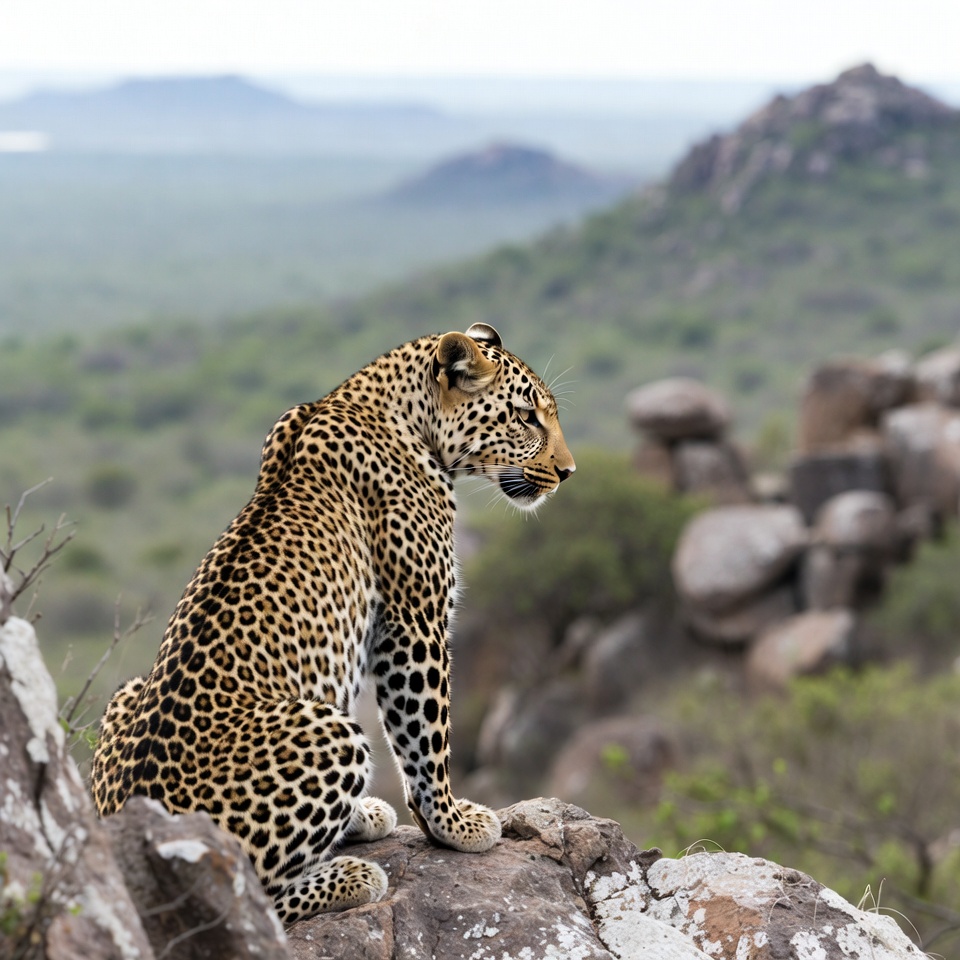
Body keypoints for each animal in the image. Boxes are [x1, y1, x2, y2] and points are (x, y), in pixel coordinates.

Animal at [91, 323, 575, 923]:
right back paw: (350, 877)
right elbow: (426, 736)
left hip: (128, 688)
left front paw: (364, 816)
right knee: (245, 894)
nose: (567, 472)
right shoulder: (413, 620)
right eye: (526, 417)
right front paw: (454, 825)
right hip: (330, 728)